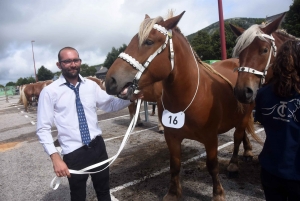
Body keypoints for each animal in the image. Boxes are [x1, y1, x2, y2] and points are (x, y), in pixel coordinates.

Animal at [105, 11, 260, 201]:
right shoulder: (172, 137)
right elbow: (175, 165)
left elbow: (212, 166)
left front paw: (218, 193)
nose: (110, 81)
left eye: (149, 41)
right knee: (242, 133)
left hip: (246, 114)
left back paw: (235, 163)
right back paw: (247, 152)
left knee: (238, 137)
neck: (188, 97)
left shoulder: (211, 138)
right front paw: (173, 193)